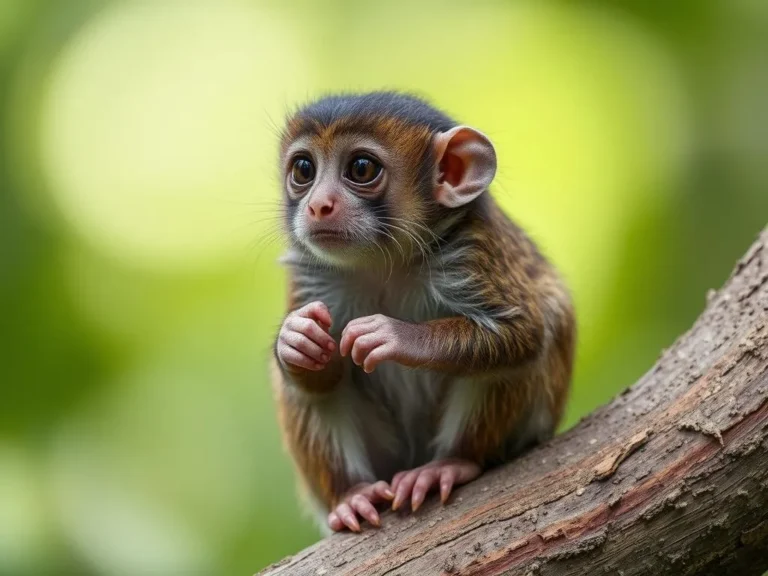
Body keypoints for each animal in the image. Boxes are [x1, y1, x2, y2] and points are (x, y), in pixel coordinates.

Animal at [270, 91, 576, 536]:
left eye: (361, 168)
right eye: (304, 169)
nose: (318, 206)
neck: (387, 264)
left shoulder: (472, 250)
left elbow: (526, 332)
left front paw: (396, 336)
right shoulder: (312, 276)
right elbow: (314, 376)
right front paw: (296, 341)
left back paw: (451, 464)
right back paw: (351, 495)